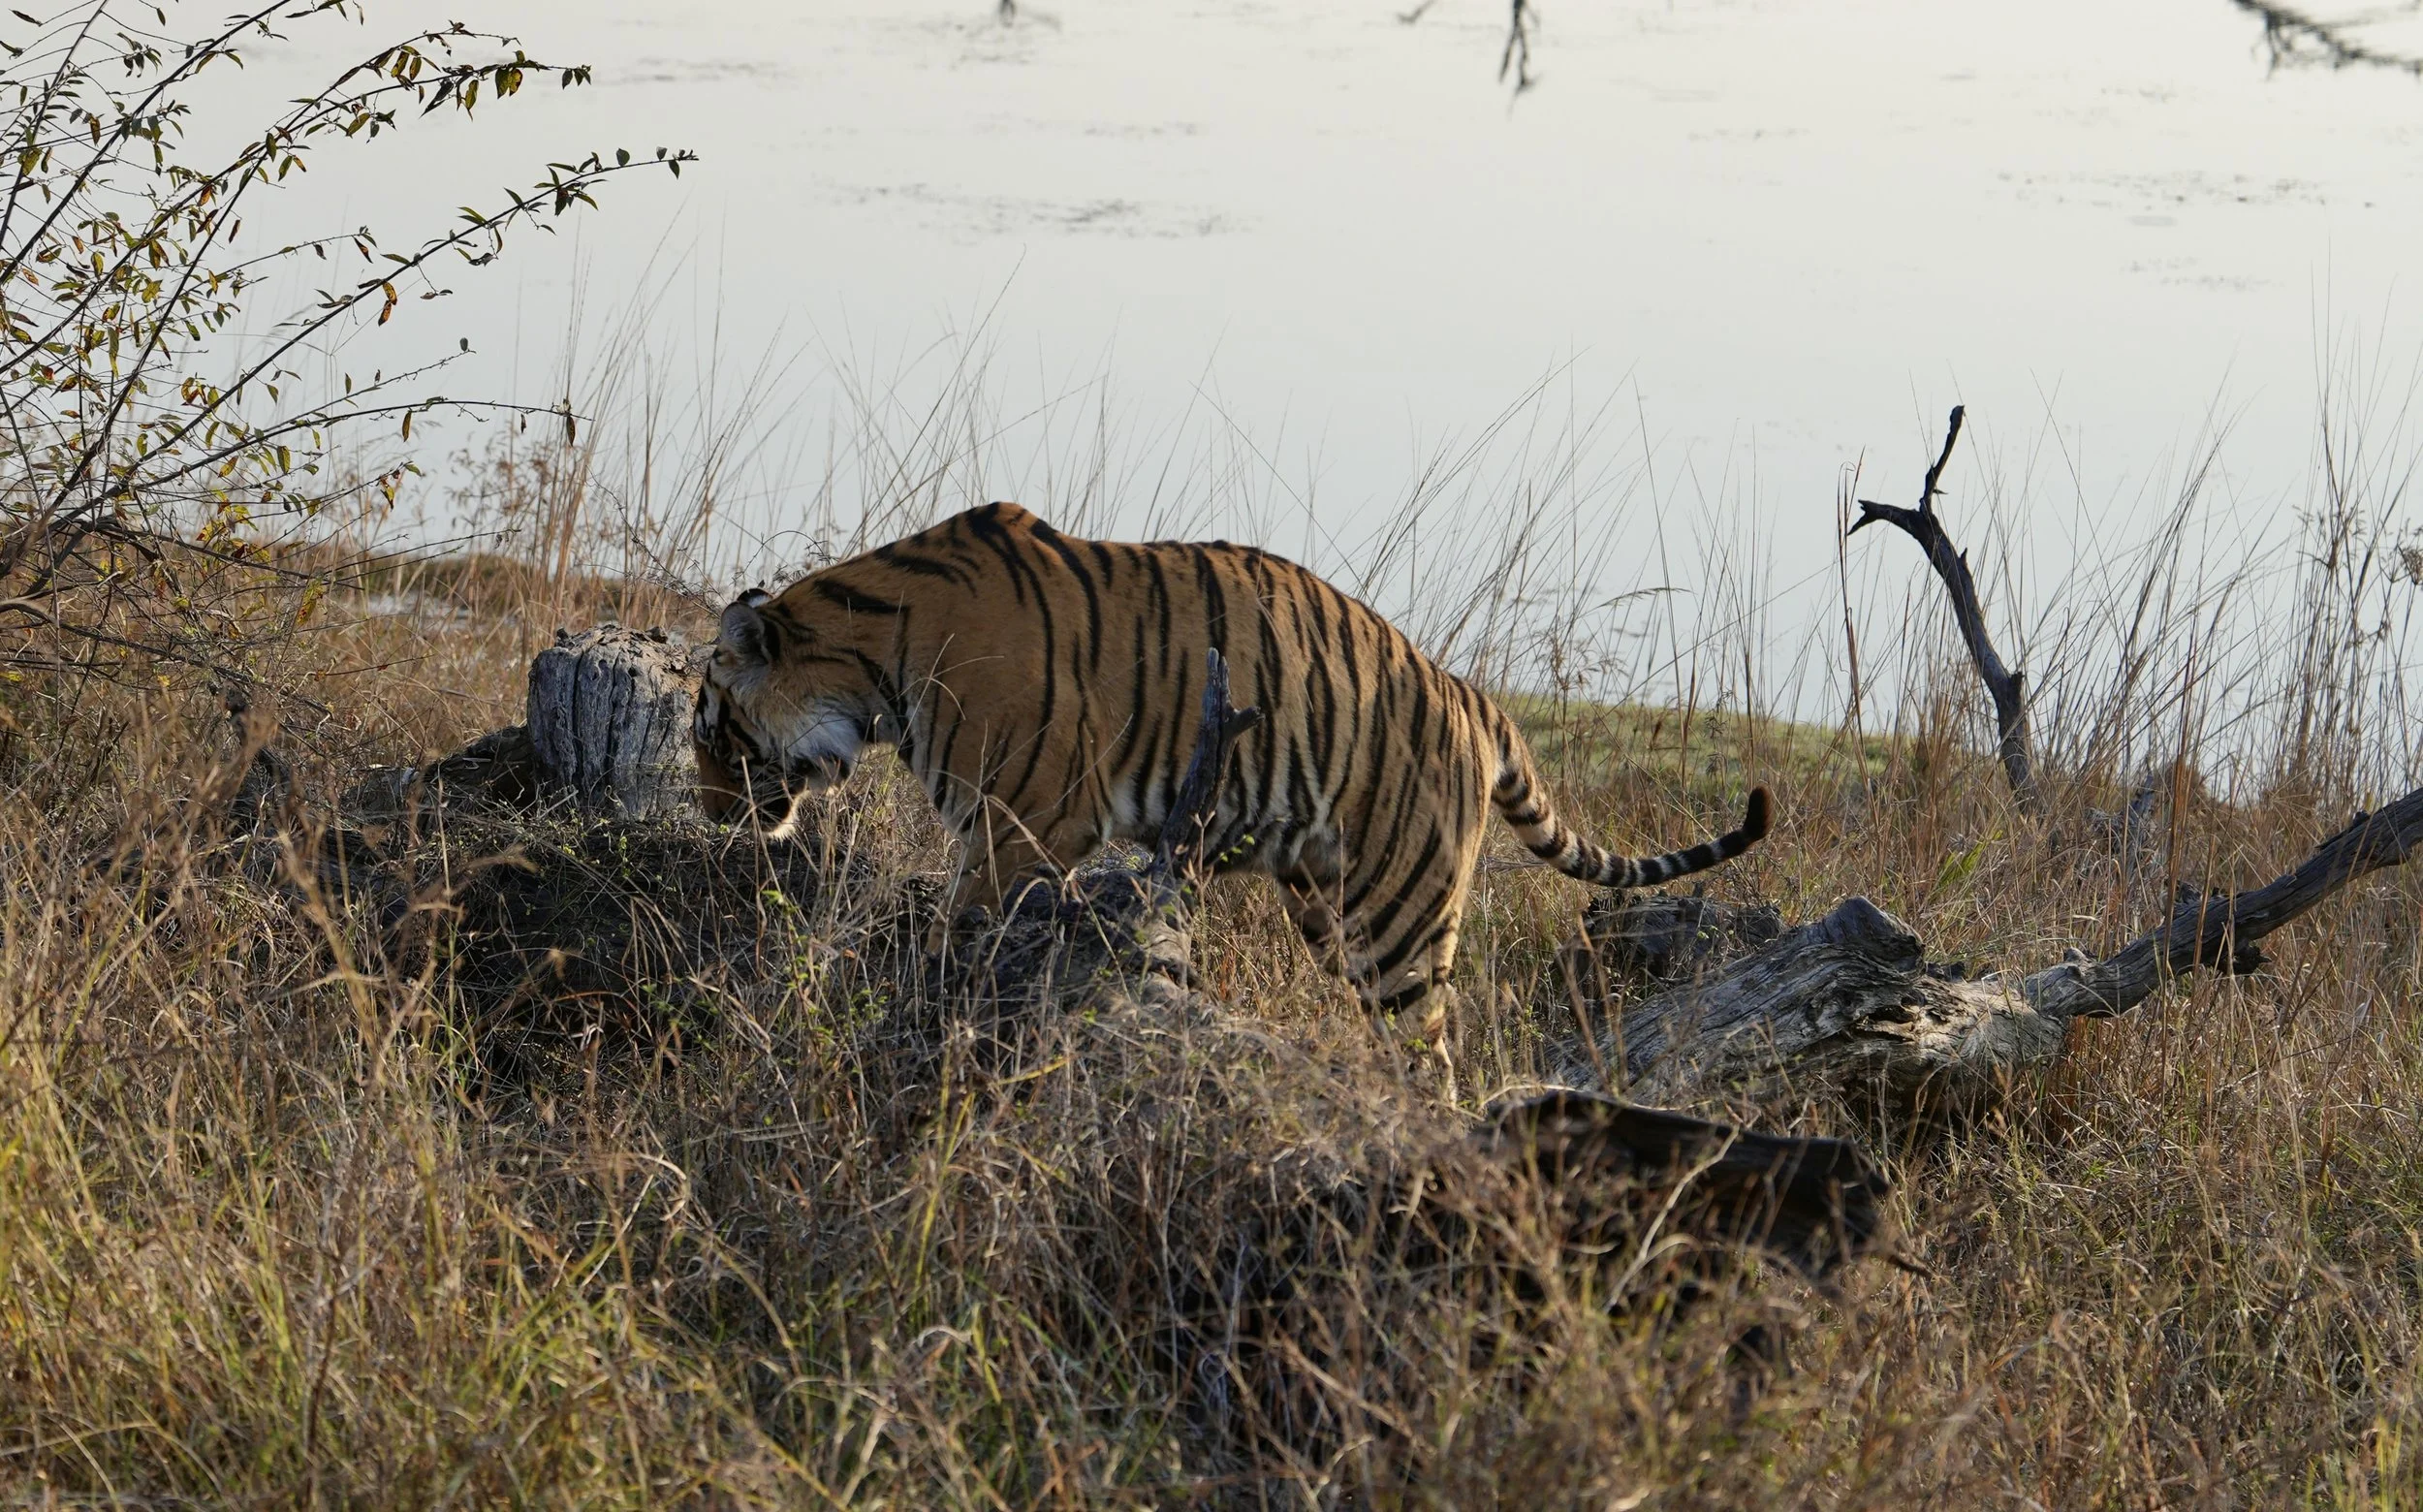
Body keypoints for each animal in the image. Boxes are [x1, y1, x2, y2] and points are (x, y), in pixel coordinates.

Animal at [692, 502, 1770, 1025]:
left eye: (709, 728)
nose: (706, 811)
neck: (869, 661)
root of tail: (1470, 694)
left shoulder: (1023, 824)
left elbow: (963, 933)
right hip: (1329, 904)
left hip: (1404, 914)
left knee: (1431, 1046)